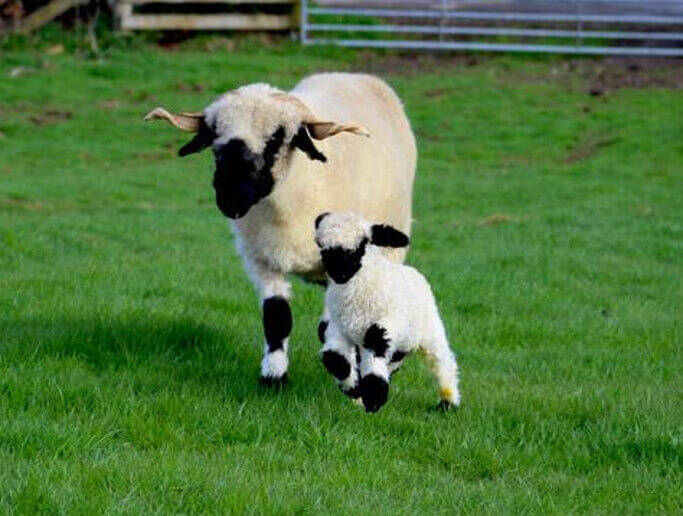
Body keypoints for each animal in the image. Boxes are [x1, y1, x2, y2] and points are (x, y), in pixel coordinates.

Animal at [316, 212, 460, 414]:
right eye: (322, 246)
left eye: (362, 244)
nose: (339, 274)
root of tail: (412, 270)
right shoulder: (338, 328)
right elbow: (334, 358)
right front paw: (353, 389)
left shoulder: (389, 323)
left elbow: (375, 338)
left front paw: (374, 397)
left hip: (430, 331)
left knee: (443, 363)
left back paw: (448, 402)